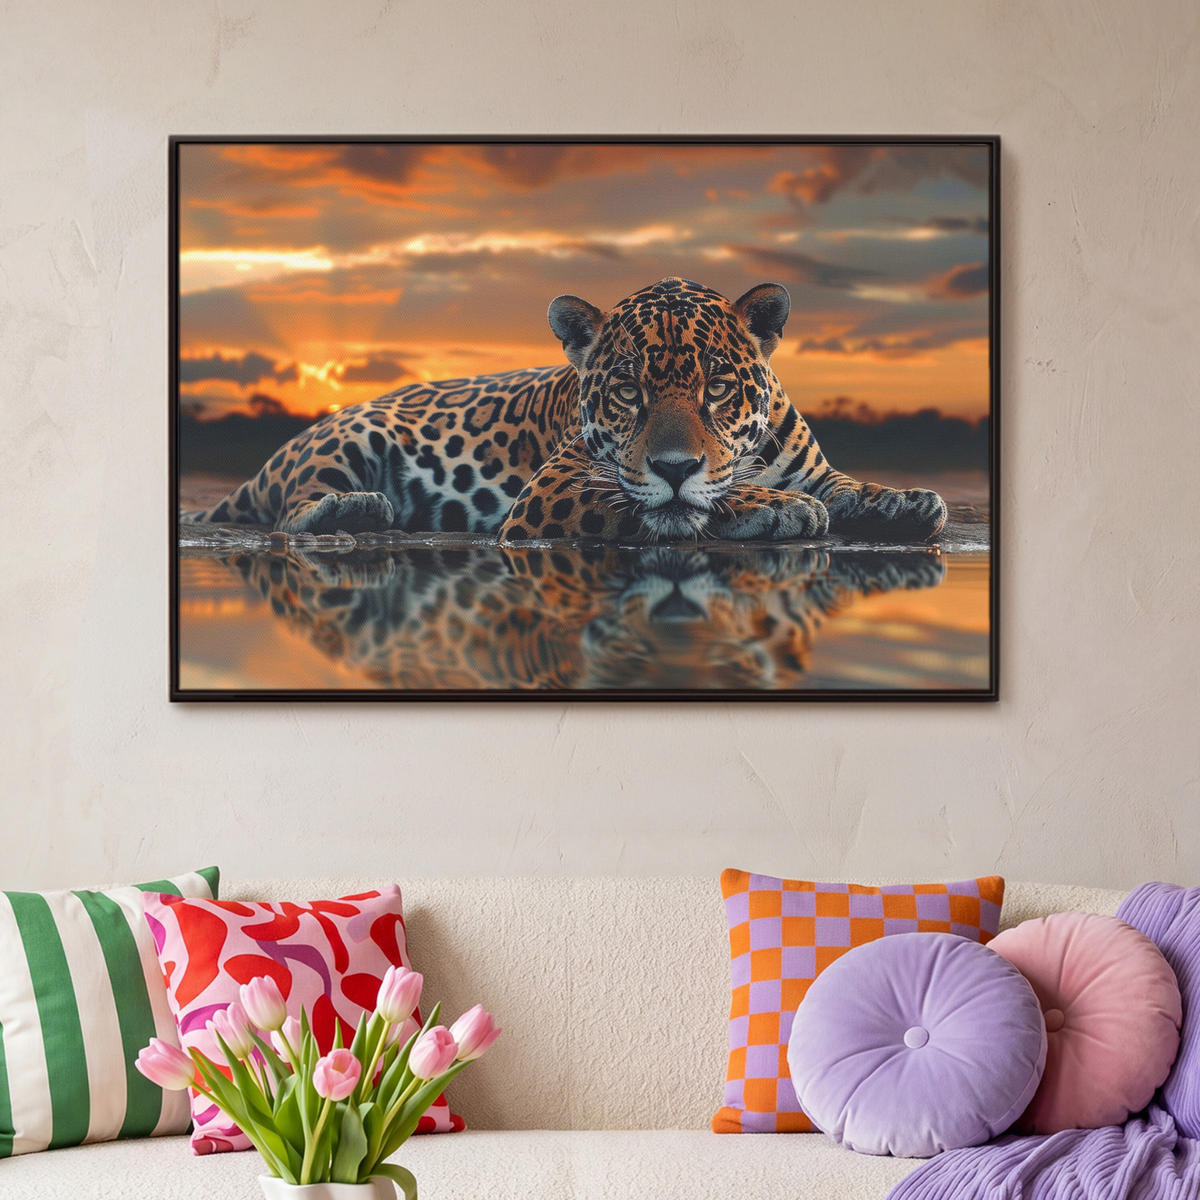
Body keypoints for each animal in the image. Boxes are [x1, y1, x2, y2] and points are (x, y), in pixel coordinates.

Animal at [184, 277, 947, 544]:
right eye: (629, 392)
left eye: (718, 388)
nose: (674, 465)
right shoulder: (556, 488)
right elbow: (686, 501)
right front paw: (773, 507)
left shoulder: (814, 468)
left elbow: (847, 486)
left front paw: (907, 501)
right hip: (347, 439)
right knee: (290, 510)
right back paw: (358, 509)